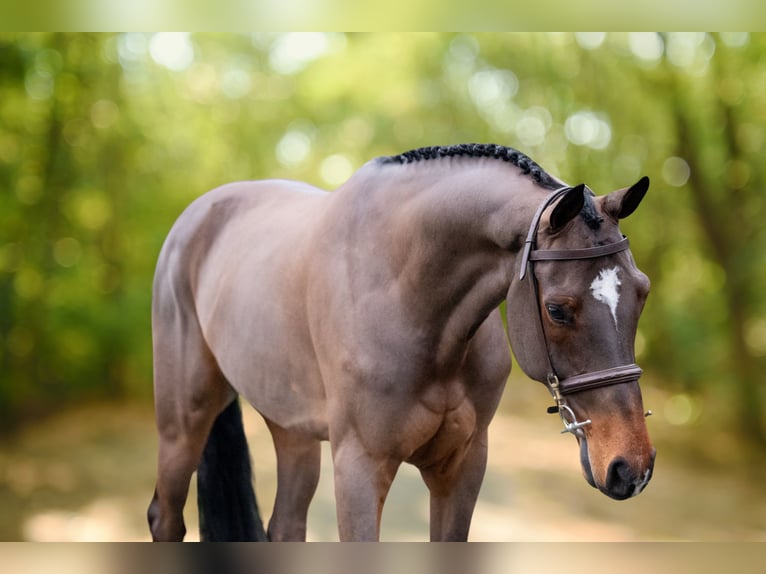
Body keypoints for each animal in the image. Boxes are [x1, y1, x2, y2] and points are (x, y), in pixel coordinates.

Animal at [147, 144, 656, 544]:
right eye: (557, 309)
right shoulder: (359, 468)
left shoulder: (463, 466)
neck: (409, 297)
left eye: (642, 292)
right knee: (165, 517)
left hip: (292, 430)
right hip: (184, 422)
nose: (631, 468)